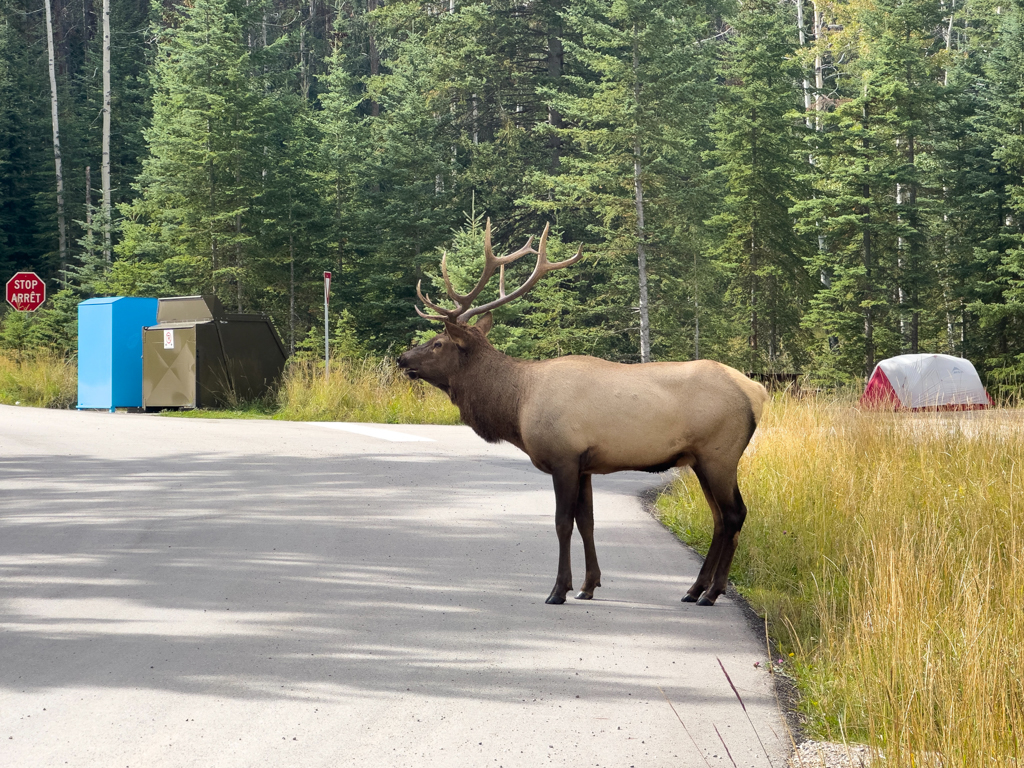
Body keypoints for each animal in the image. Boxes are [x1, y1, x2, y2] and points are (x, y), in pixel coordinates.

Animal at [395, 221, 765, 606]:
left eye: (438, 343)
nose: (402, 358)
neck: (517, 404)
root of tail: (757, 391)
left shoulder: (564, 456)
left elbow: (562, 522)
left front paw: (559, 589)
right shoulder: (586, 464)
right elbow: (587, 522)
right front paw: (589, 585)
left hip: (720, 453)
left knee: (734, 513)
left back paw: (712, 592)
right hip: (699, 459)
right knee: (719, 517)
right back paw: (695, 589)